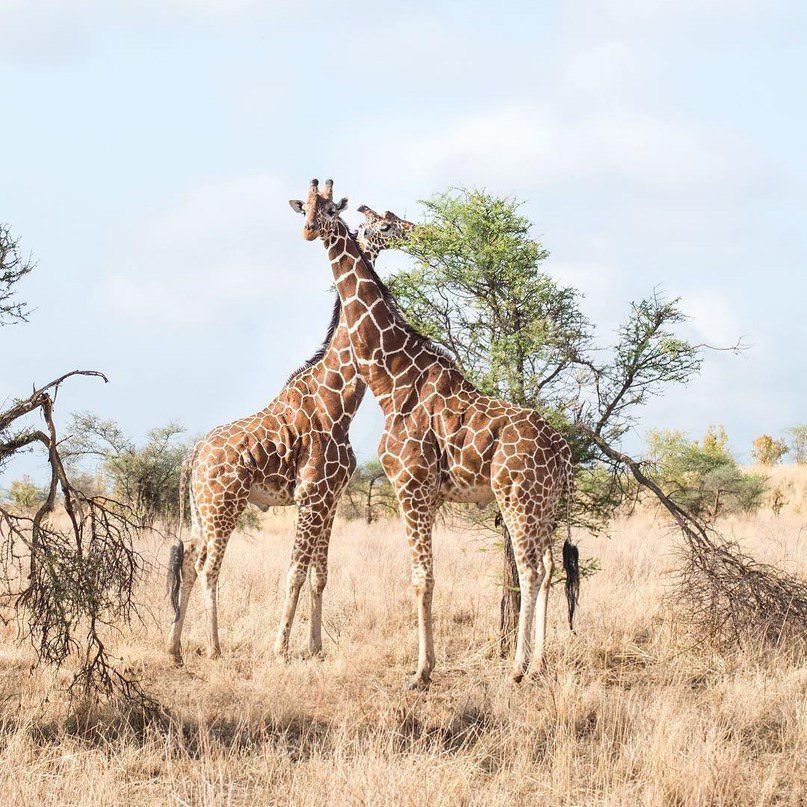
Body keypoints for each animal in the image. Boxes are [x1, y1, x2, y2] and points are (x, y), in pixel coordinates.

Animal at [166, 186, 400, 664]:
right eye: (385, 225)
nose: (409, 230)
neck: (339, 398)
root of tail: (193, 453)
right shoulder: (311, 495)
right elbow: (294, 570)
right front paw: (281, 649)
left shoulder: (330, 498)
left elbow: (319, 572)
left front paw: (315, 648)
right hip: (224, 505)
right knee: (209, 565)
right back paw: (214, 647)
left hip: (201, 509)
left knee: (191, 559)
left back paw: (176, 648)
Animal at [288, 181, 576, 688]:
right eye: (305, 207)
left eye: (328, 209)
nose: (308, 230)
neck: (392, 378)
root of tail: (561, 451)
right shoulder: (430, 493)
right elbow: (426, 577)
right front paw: (428, 665)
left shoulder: (410, 485)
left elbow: (421, 578)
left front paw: (420, 672)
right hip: (544, 503)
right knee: (546, 568)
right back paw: (539, 662)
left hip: (517, 496)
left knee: (528, 568)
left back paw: (517, 668)